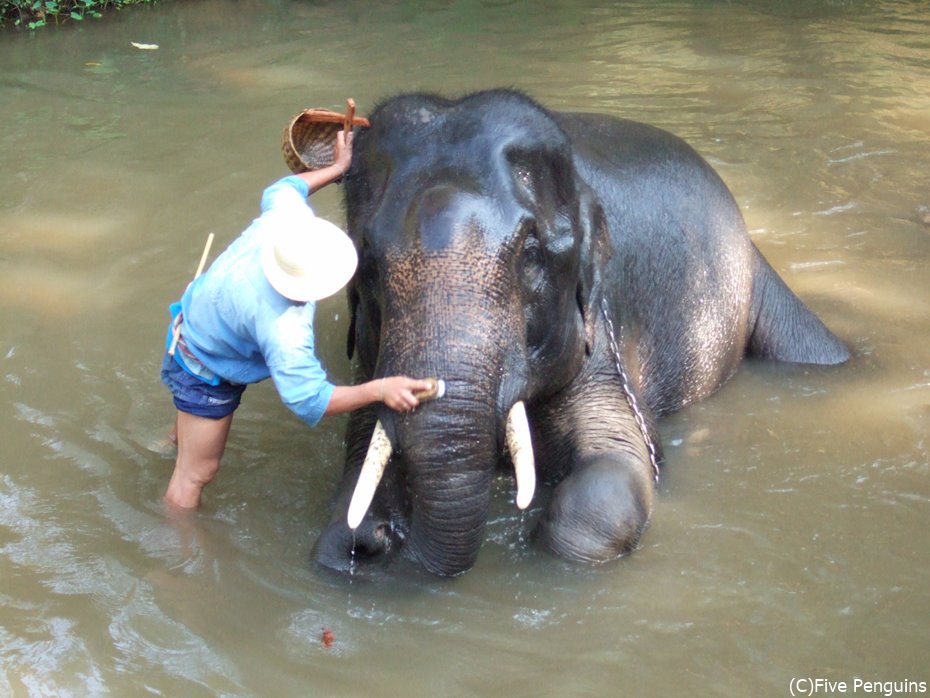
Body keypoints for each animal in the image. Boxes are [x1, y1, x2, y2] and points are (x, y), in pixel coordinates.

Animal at [310, 87, 848, 576]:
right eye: (367, 263)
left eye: (530, 252)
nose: (386, 543)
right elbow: (359, 467)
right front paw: (360, 534)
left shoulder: (603, 338)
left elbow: (616, 469)